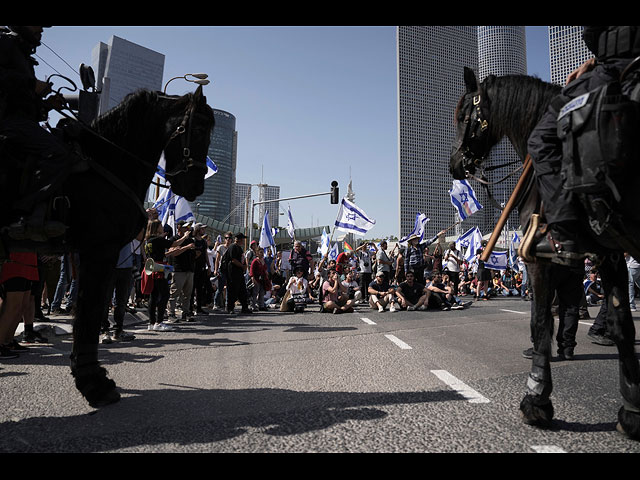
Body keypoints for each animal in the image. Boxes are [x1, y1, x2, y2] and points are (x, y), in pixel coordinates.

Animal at [0, 85, 216, 404]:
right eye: (198, 129)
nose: (195, 187)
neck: (105, 159)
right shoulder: (100, 249)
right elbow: (90, 311)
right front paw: (95, 382)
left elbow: (89, 310)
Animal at [448, 67, 640, 438]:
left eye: (464, 116)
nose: (454, 164)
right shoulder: (609, 254)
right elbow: (622, 323)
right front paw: (632, 409)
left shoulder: (537, 258)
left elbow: (540, 322)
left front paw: (536, 400)